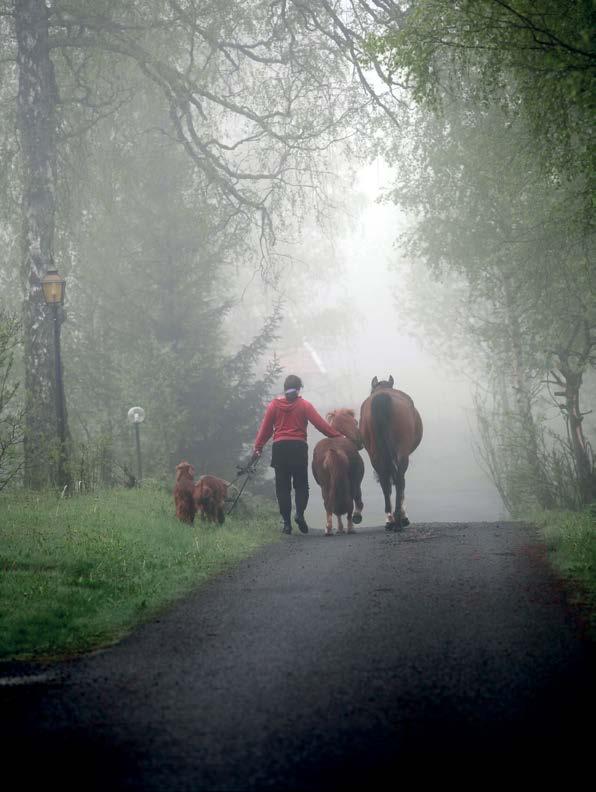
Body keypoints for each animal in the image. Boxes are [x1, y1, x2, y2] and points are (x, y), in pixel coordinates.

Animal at [358, 378, 424, 532]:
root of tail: (382, 398)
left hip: (376, 455)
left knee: (385, 482)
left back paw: (390, 519)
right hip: (401, 453)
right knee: (399, 480)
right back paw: (399, 519)